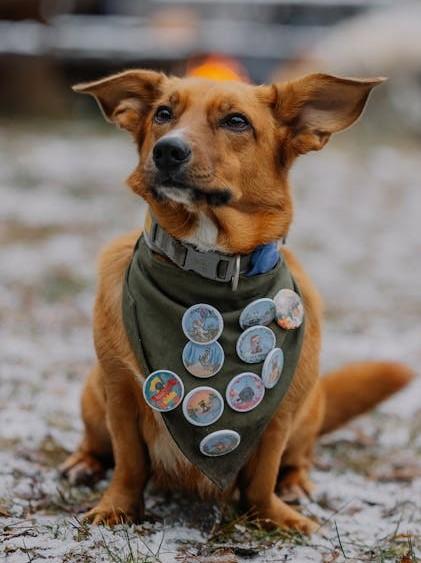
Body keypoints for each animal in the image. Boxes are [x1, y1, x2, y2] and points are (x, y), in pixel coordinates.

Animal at [60, 70, 412, 532]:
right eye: (163, 114)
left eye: (236, 122)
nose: (167, 149)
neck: (211, 262)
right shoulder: (118, 394)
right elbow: (130, 463)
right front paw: (116, 507)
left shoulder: (280, 414)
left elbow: (263, 476)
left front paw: (272, 516)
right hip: (92, 391)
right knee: (97, 443)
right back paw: (83, 462)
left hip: (309, 406)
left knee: (298, 459)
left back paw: (296, 486)